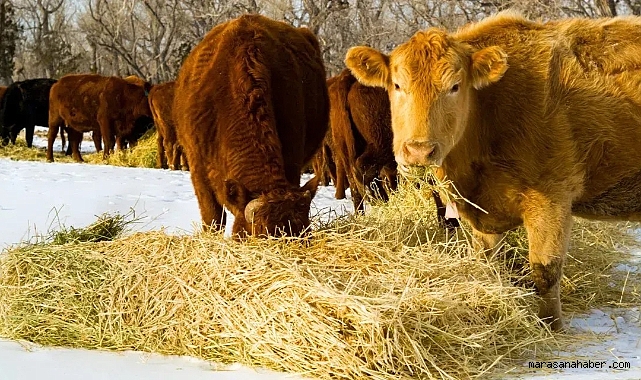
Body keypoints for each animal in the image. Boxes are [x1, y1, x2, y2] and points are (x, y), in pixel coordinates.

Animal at [344, 10, 641, 328]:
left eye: (455, 86)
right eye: (398, 85)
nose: (419, 150)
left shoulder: (553, 199)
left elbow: (545, 273)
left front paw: (552, 327)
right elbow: (488, 263)